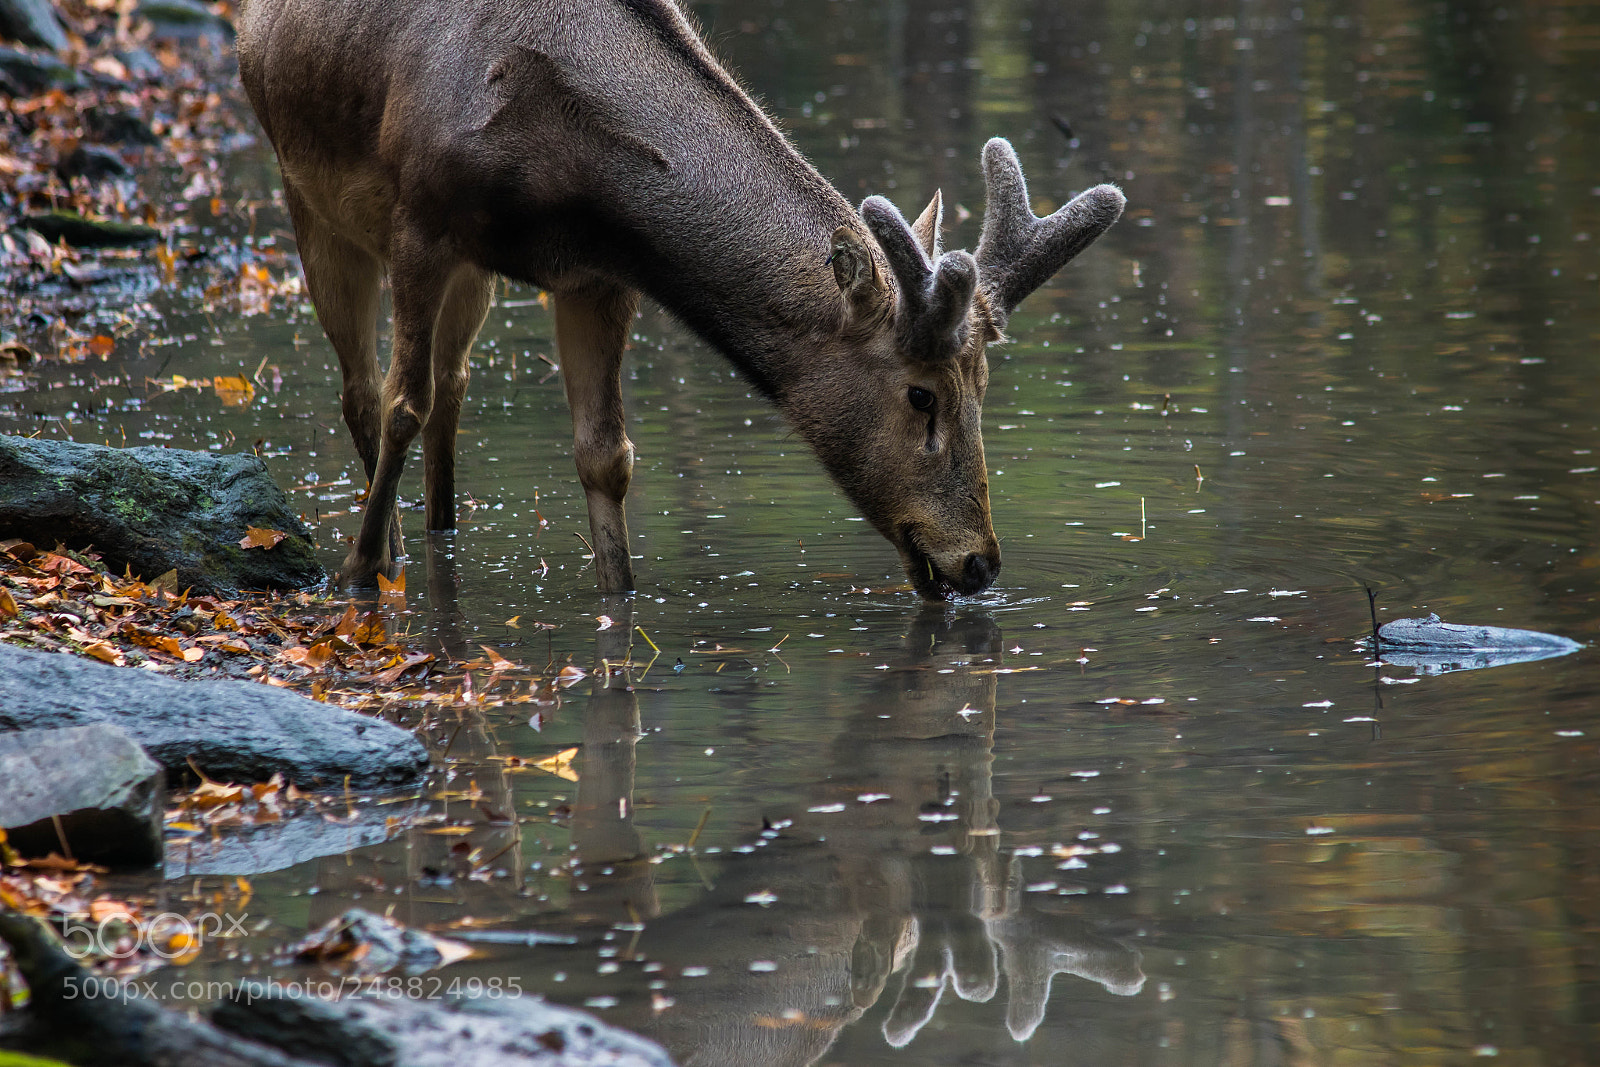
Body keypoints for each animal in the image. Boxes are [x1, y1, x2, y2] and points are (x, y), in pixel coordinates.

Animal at [236, 0, 1124, 600]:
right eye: (920, 395)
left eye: (983, 386)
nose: (977, 560)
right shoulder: (419, 224)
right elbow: (399, 402)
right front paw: (357, 571)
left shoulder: (593, 274)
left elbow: (605, 454)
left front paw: (621, 599)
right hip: (308, 194)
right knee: (364, 387)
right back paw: (385, 549)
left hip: (473, 275)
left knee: (453, 387)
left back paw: (439, 528)